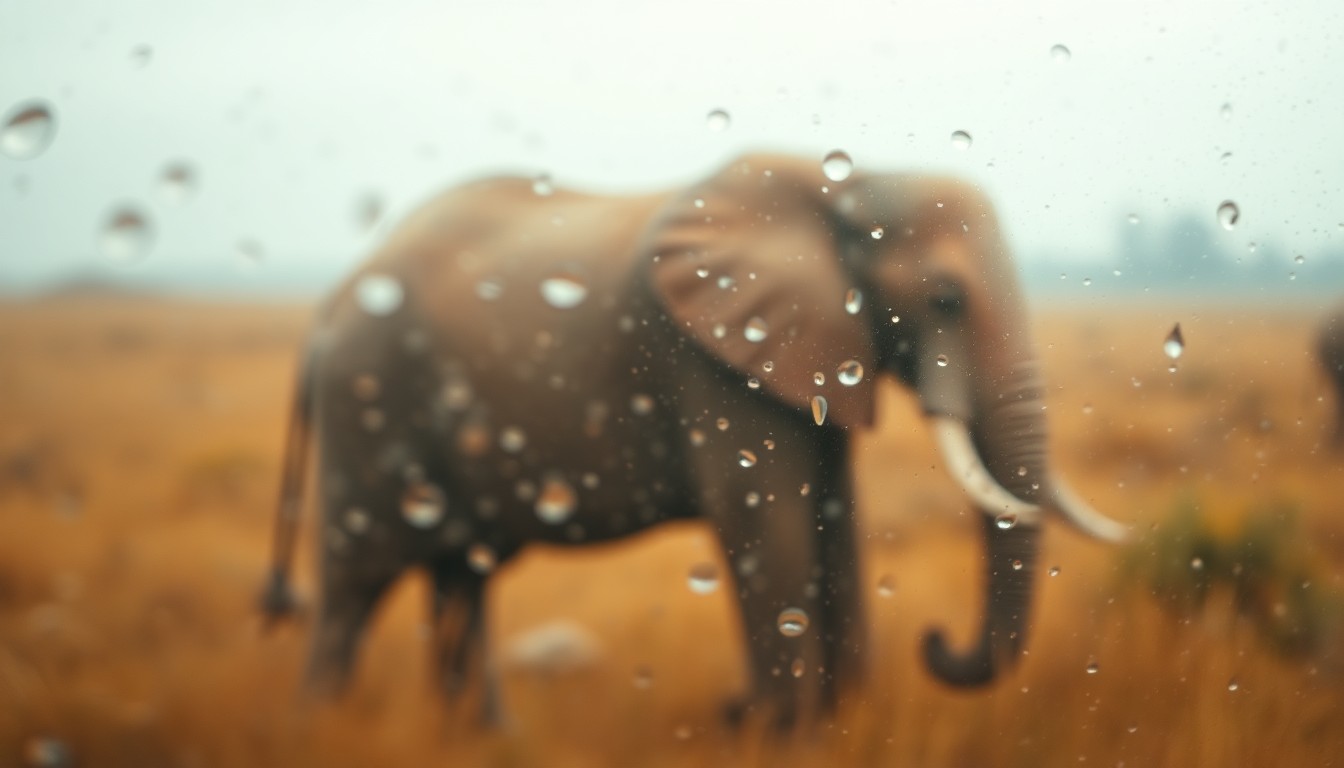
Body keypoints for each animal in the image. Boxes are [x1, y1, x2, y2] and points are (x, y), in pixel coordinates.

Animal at [258, 152, 1128, 725]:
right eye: (945, 298)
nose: (936, 638)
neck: (843, 181)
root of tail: (329, 303)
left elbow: (834, 525)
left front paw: (838, 728)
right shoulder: (713, 360)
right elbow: (770, 529)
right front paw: (785, 737)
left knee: (459, 576)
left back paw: (478, 740)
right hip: (369, 403)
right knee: (351, 588)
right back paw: (322, 730)